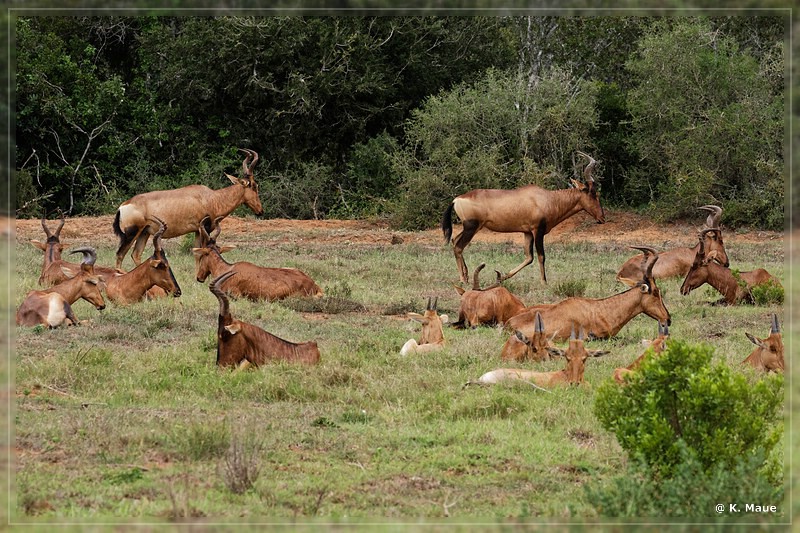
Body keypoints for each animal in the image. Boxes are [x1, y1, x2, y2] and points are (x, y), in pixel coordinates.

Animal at [112, 148, 264, 268]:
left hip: (144, 232)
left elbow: (197, 253)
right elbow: (202, 251)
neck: (212, 198)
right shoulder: (205, 228)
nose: (260, 211)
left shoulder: (197, 230)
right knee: (120, 254)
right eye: (254, 185)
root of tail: (123, 206)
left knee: (136, 255)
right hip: (131, 233)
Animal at [440, 150, 604, 282]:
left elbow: (528, 257)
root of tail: (457, 199)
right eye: (592, 193)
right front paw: (544, 283)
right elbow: (541, 256)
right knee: (458, 247)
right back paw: (463, 280)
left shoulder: (527, 232)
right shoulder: (537, 231)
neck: (546, 198)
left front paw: (502, 277)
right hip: (472, 227)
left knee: (455, 240)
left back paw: (466, 275)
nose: (602, 218)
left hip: (468, 227)